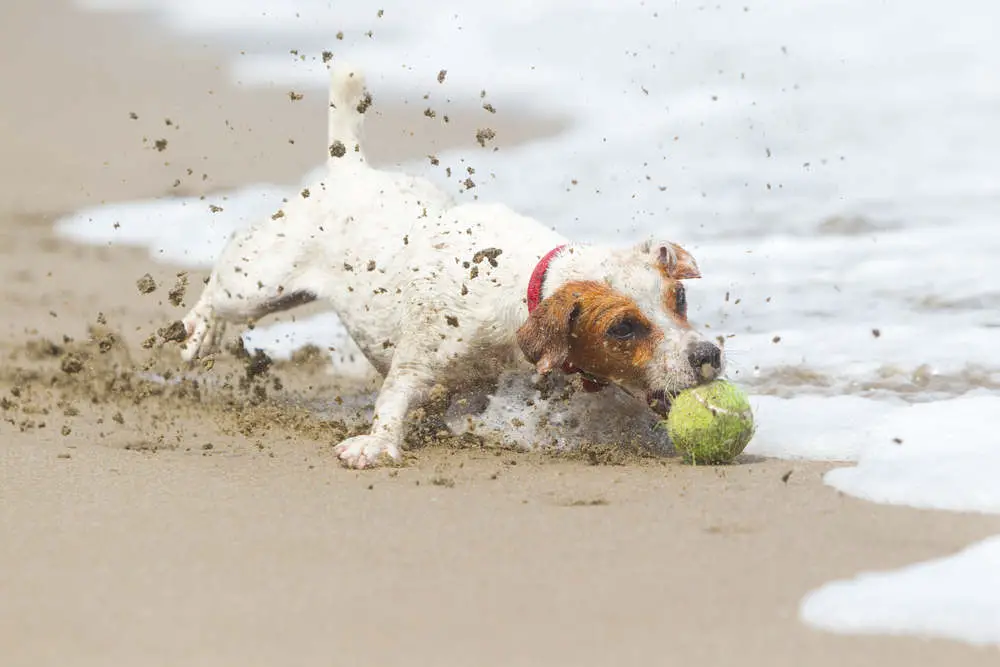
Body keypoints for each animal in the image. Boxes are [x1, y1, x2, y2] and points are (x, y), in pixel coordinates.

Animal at [180, 65, 724, 468]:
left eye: (679, 298)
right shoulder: (421, 359)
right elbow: (396, 395)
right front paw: (377, 442)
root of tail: (349, 168)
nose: (709, 355)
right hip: (256, 282)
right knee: (217, 294)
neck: (524, 288)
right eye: (623, 327)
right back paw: (198, 332)